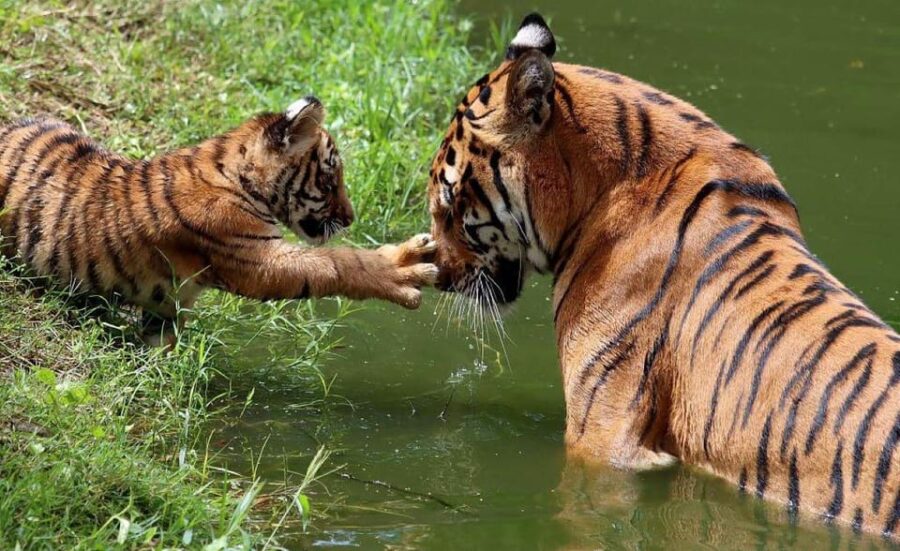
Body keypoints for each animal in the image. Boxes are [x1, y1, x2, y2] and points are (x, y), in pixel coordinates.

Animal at [0, 96, 438, 341]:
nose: (350, 217)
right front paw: (405, 267)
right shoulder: (255, 258)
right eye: (331, 182)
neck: (238, 176)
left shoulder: (166, 307)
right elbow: (338, 263)